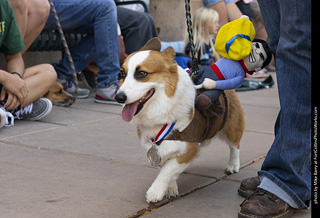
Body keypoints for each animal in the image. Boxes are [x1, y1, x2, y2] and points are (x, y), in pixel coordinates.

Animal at [115, 38, 245, 204]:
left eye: (142, 73)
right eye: (121, 74)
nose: (118, 97)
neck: (162, 109)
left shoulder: (188, 148)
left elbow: (167, 170)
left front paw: (155, 191)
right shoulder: (159, 148)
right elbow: (166, 168)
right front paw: (170, 188)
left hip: (232, 128)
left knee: (235, 146)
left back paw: (233, 165)